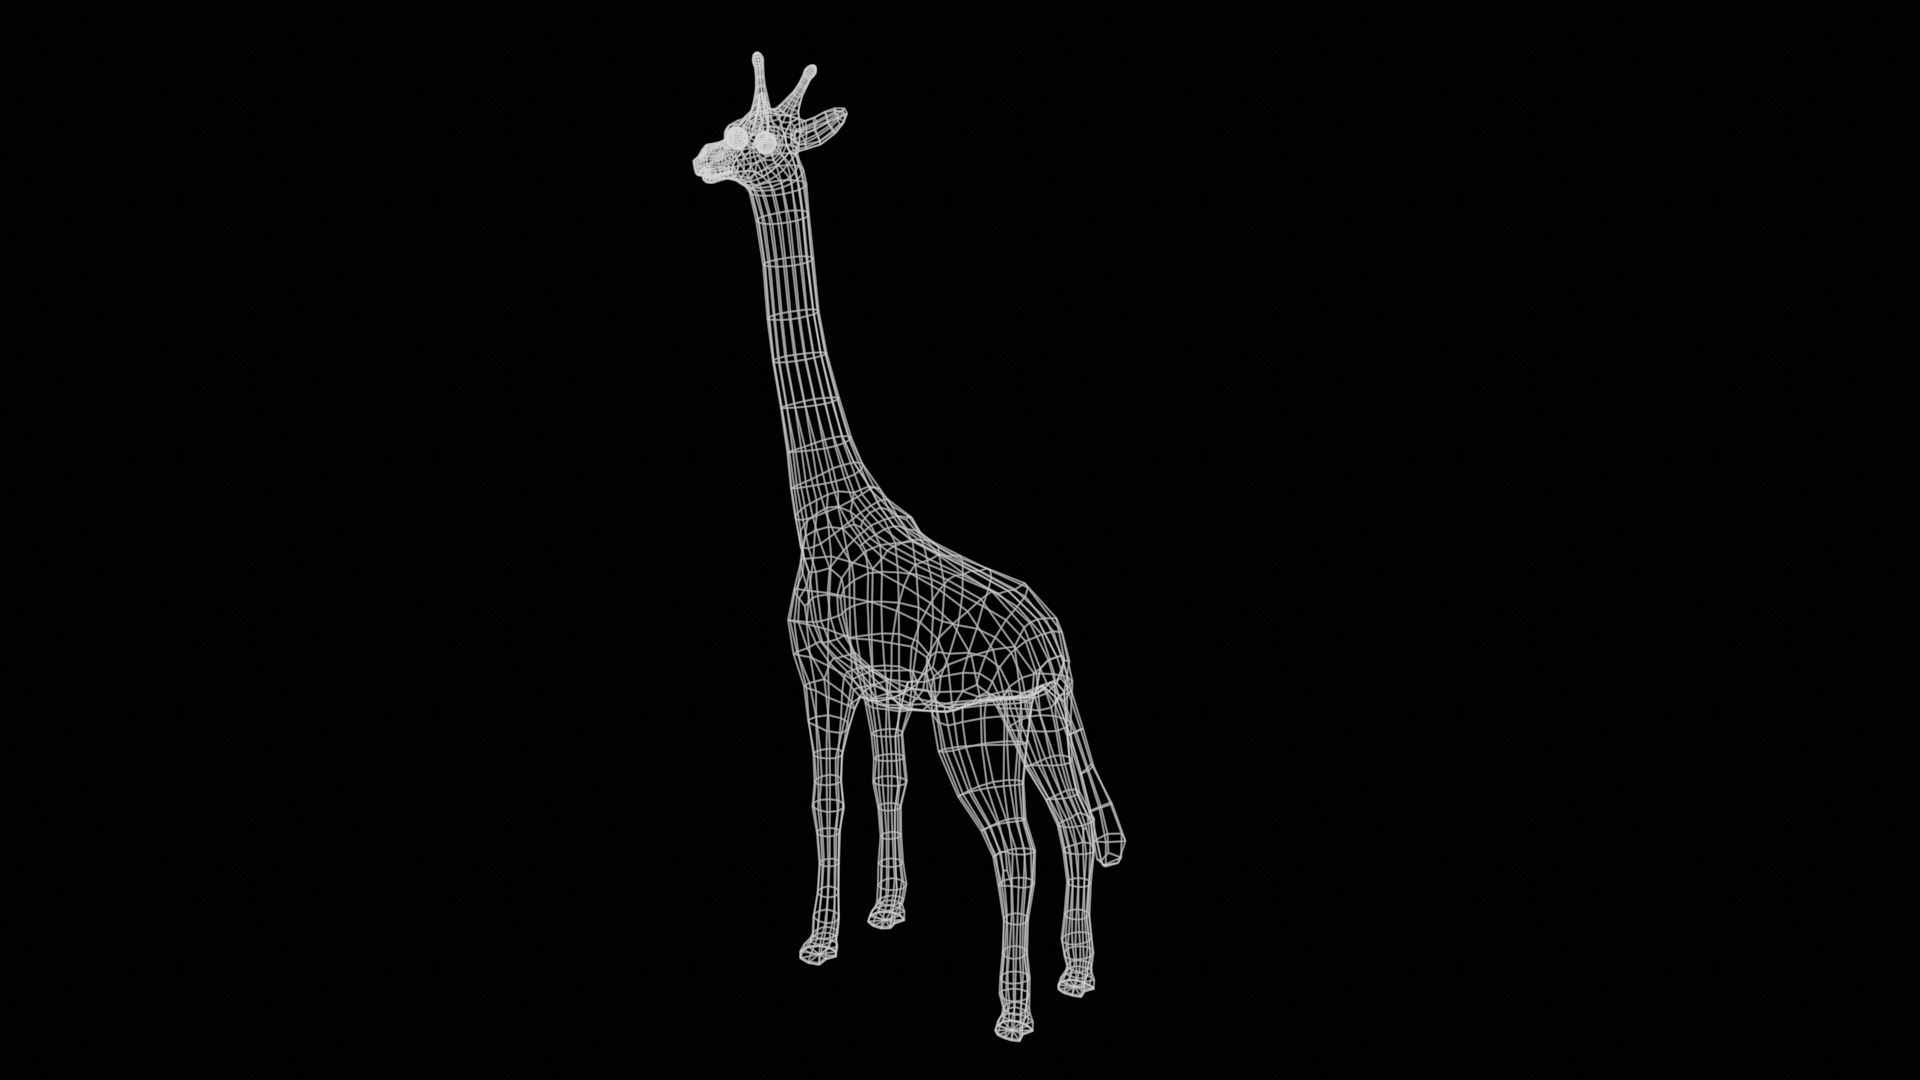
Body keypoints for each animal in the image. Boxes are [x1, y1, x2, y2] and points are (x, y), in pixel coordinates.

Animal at [692, 53, 1127, 1043]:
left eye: (757, 142)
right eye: (731, 127)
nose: (702, 161)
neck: (826, 510)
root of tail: (1053, 643)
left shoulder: (818, 667)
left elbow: (826, 798)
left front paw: (819, 944)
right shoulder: (888, 691)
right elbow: (885, 786)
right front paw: (885, 913)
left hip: (976, 720)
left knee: (1018, 848)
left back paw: (1014, 1014)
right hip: (1039, 714)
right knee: (1078, 826)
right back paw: (1078, 978)